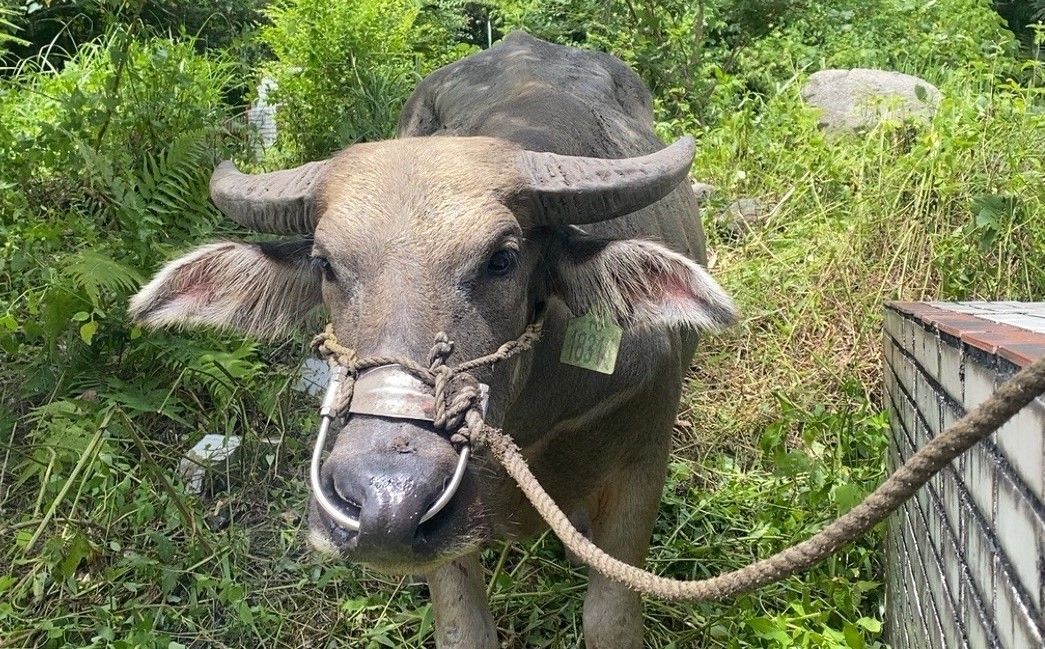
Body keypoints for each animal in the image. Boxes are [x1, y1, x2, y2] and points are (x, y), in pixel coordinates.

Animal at [130, 31, 735, 647]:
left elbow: (609, 617)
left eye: (502, 259)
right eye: (325, 263)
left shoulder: (644, 460)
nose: (385, 500)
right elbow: (465, 627)